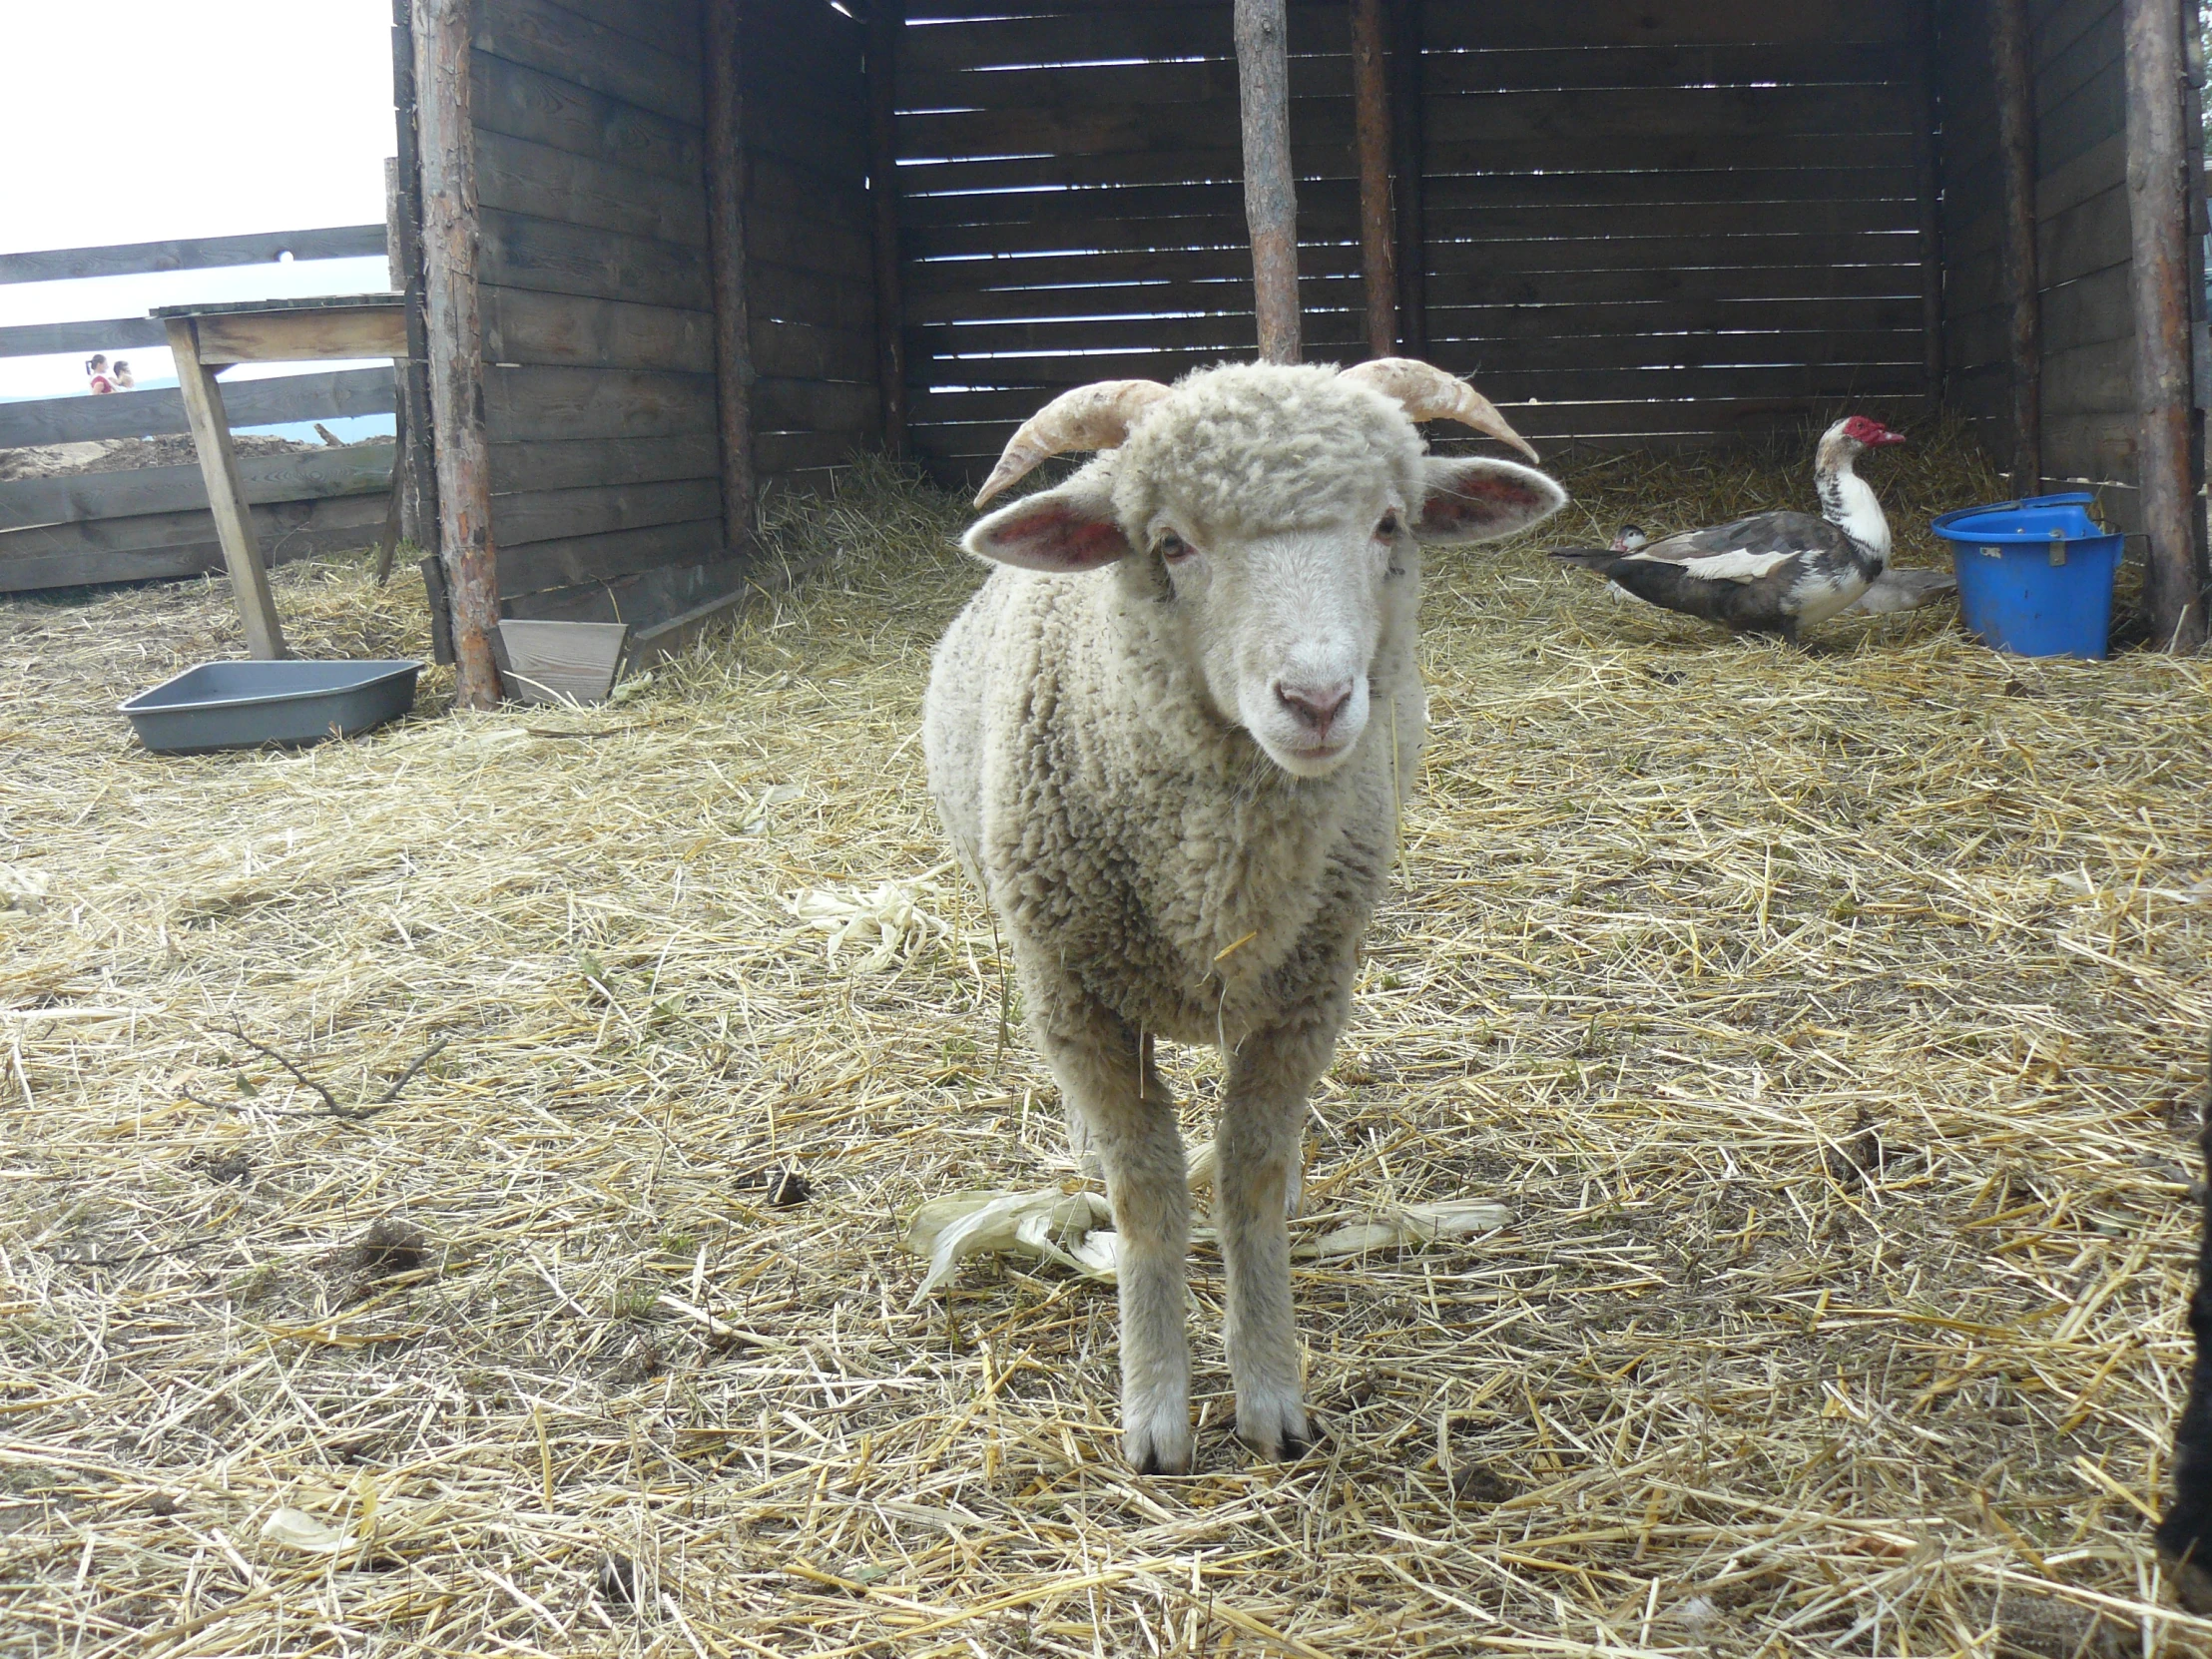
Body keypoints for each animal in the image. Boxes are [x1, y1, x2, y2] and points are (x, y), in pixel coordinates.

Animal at [924, 357, 1565, 1477]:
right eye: (1170, 542)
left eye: (1388, 524)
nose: (1315, 699)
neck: (1217, 884)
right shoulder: (1075, 999)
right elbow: (1146, 1198)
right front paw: (1155, 1411)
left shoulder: (1305, 993)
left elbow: (1249, 1185)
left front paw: (1269, 1390)